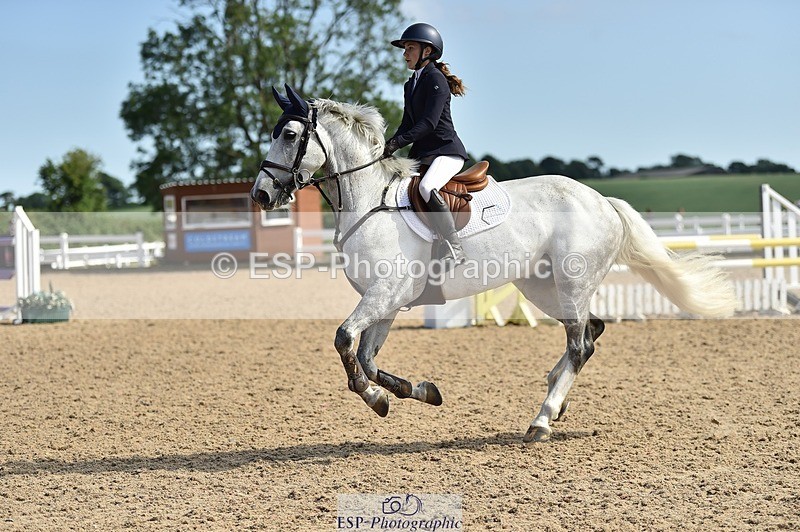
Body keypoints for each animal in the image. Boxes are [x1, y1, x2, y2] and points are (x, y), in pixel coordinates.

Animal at [251, 85, 737, 443]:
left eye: (289, 135)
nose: (261, 194)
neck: (370, 201)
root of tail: (603, 200)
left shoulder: (385, 294)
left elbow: (345, 342)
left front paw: (378, 400)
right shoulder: (387, 302)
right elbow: (366, 360)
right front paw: (418, 392)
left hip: (572, 281)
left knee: (580, 343)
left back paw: (542, 420)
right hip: (541, 286)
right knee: (589, 333)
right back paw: (556, 400)